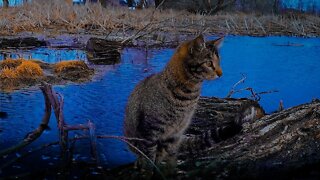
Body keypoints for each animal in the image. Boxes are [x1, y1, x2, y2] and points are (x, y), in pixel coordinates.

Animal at [124, 34, 224, 170]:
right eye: (209, 63)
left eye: (219, 61)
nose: (221, 73)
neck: (187, 97)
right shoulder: (150, 131)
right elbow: (149, 157)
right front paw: (149, 169)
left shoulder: (175, 134)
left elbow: (164, 156)